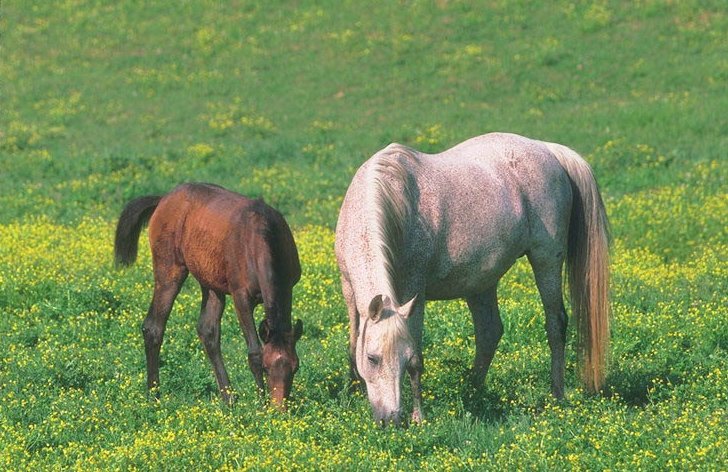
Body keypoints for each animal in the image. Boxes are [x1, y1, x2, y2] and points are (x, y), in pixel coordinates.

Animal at [113, 183, 304, 408]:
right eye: (266, 368)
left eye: (295, 367)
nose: (279, 409)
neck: (261, 238)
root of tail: (163, 200)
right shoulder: (241, 297)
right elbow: (254, 351)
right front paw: (261, 404)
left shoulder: (288, 288)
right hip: (170, 270)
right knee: (153, 327)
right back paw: (154, 394)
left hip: (211, 284)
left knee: (208, 331)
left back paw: (228, 397)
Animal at [336, 132, 608, 424]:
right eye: (372, 358)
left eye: (403, 358)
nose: (392, 419)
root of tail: (548, 150)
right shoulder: (349, 290)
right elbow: (353, 343)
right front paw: (350, 394)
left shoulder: (413, 292)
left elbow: (418, 358)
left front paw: (419, 417)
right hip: (482, 283)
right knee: (489, 331)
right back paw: (472, 391)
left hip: (546, 259)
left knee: (555, 323)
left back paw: (556, 393)